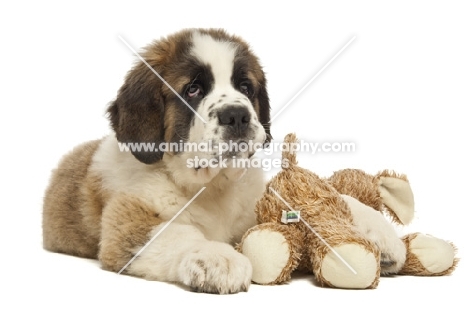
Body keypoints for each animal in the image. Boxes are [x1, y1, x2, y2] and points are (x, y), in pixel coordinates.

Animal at [43, 28, 272, 294]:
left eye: (246, 87)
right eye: (193, 90)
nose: (236, 116)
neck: (211, 186)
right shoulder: (126, 221)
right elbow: (178, 232)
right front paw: (216, 256)